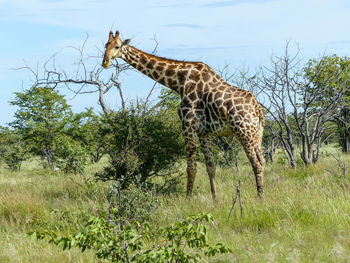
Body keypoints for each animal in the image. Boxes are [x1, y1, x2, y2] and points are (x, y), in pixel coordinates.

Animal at [102, 30, 266, 200]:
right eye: (105, 45)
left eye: (117, 46)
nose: (105, 62)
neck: (179, 82)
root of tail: (258, 110)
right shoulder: (203, 131)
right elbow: (210, 166)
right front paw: (215, 199)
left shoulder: (188, 125)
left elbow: (191, 167)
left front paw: (188, 199)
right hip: (257, 134)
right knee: (263, 161)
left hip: (244, 132)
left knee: (256, 164)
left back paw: (260, 198)